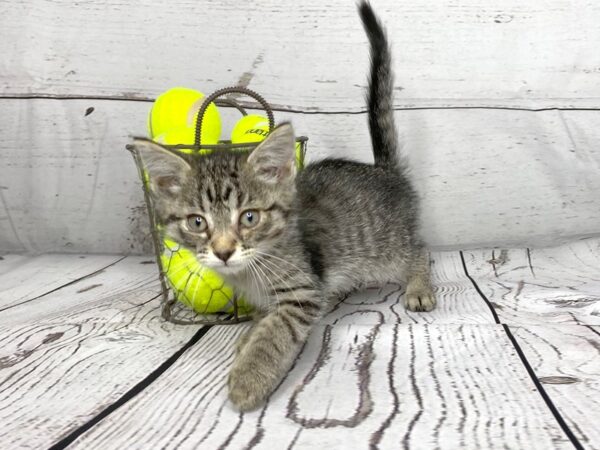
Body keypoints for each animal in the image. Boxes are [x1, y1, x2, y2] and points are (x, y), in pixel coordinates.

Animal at [131, 0, 434, 412]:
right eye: (197, 222)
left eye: (249, 217)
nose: (223, 252)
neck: (249, 272)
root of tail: (384, 171)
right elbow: (263, 319)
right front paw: (247, 339)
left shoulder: (301, 290)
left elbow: (276, 331)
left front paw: (249, 377)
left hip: (385, 247)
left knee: (419, 249)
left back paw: (419, 286)